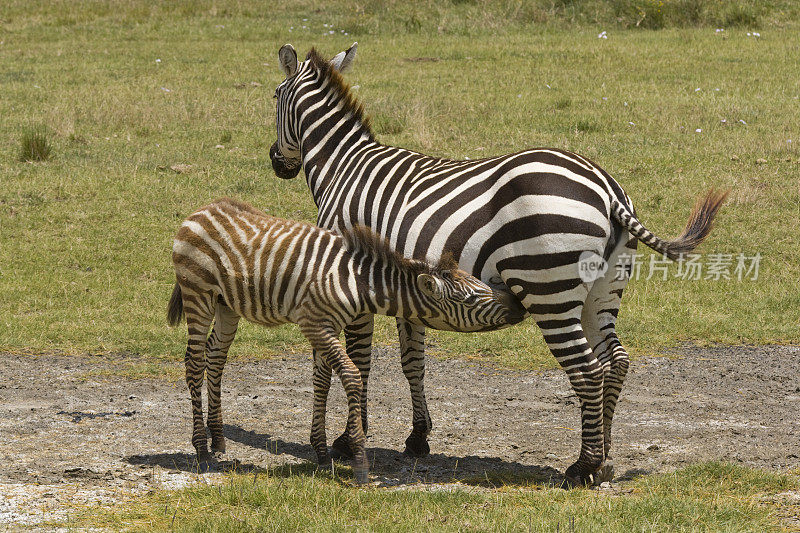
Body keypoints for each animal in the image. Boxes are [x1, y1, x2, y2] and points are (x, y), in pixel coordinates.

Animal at [166, 197, 520, 480]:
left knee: (215, 357)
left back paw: (218, 438)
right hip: (198, 294)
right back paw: (201, 449)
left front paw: (321, 452)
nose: (517, 303)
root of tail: (202, 210)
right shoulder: (315, 325)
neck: (355, 282)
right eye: (470, 299)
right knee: (194, 363)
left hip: (226, 304)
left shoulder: (328, 326)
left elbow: (322, 381)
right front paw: (357, 456)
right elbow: (350, 375)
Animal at [268, 43, 724, 486]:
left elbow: (360, 360)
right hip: (603, 290)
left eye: (274, 96)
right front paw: (417, 437)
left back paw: (583, 467)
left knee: (587, 370)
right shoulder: (406, 288)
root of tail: (607, 188)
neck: (343, 168)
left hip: (549, 291)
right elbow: (412, 362)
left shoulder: (354, 280)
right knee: (616, 362)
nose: (276, 161)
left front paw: (349, 441)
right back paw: (606, 458)